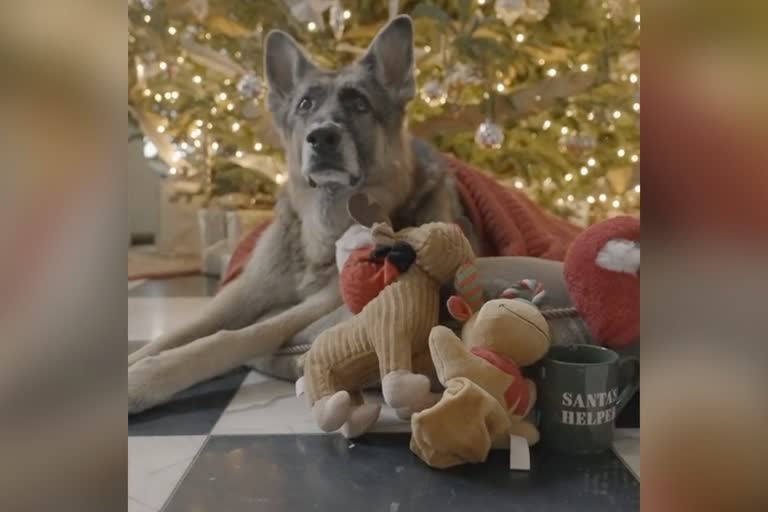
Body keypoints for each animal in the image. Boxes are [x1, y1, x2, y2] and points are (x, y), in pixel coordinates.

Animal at [128, 16, 464, 414]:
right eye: (305, 104)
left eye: (359, 103)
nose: (322, 137)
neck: (322, 233)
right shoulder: (243, 292)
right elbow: (186, 330)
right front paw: (138, 360)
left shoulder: (319, 302)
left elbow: (238, 335)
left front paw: (147, 378)